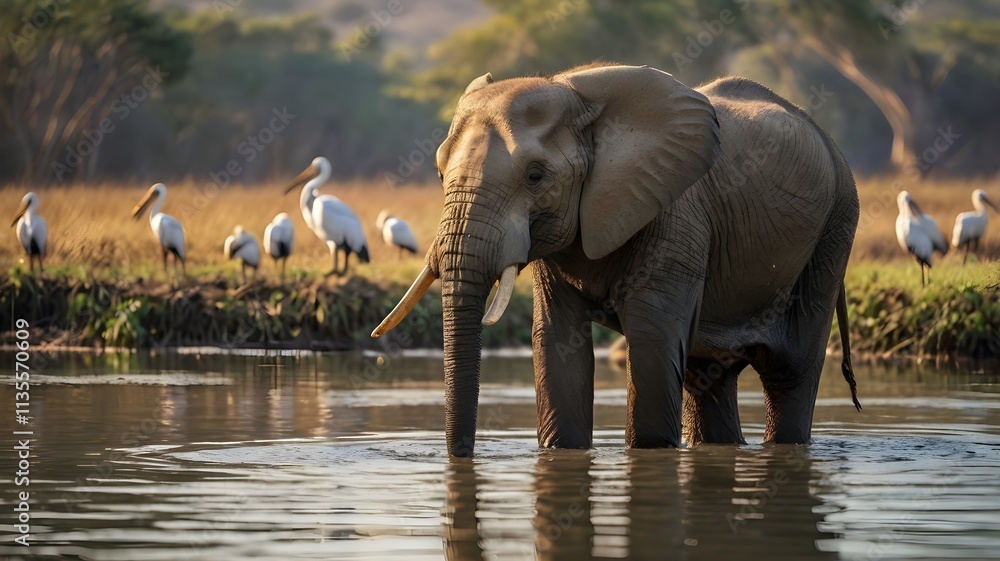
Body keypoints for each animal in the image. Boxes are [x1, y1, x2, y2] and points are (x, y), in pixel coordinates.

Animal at [374, 63, 861, 457]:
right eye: (439, 172)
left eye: (535, 176)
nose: (461, 456)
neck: (573, 91)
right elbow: (556, 342)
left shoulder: (675, 212)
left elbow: (652, 341)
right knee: (709, 377)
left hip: (835, 227)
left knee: (789, 372)